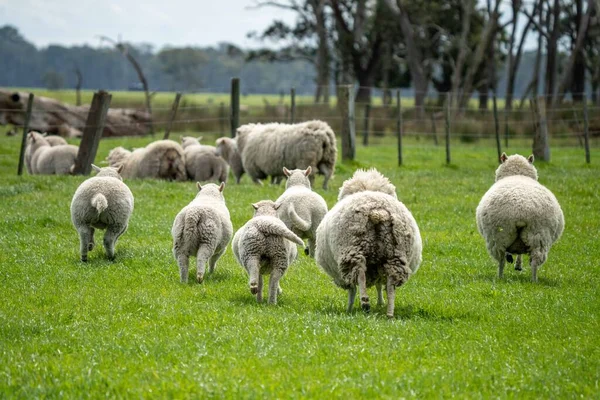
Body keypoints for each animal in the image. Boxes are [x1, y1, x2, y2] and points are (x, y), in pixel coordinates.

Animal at [314, 167, 422, 318]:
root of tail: (377, 211)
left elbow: (352, 289)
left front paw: (349, 309)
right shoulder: (378, 268)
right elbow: (378, 285)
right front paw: (380, 302)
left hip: (352, 249)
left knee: (359, 273)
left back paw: (365, 302)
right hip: (395, 255)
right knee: (390, 284)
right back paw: (389, 312)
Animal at [476, 152, 564, 282]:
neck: (517, 174)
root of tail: (521, 210)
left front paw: (517, 264)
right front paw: (518, 265)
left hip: (499, 235)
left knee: (501, 260)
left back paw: (500, 277)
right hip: (539, 235)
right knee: (535, 260)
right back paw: (534, 280)